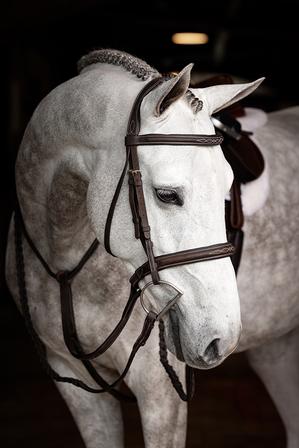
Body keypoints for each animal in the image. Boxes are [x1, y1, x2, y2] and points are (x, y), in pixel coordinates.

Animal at [4, 47, 299, 446]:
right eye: (166, 195)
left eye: (226, 188)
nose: (220, 338)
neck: (65, 258)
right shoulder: (72, 378)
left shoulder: (159, 391)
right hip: (275, 345)